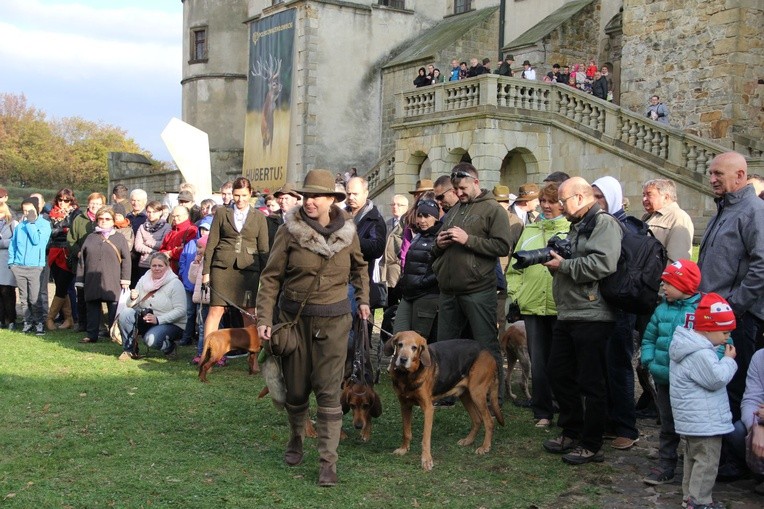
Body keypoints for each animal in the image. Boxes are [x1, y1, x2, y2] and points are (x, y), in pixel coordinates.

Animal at [384, 332, 504, 470]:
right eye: (400, 344)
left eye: (414, 348)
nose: (403, 359)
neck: (407, 376)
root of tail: (488, 351)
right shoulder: (405, 405)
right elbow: (406, 432)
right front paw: (404, 449)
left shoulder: (428, 409)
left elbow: (425, 438)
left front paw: (426, 460)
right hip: (465, 395)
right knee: (477, 419)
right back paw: (468, 440)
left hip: (477, 394)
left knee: (489, 421)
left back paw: (485, 447)